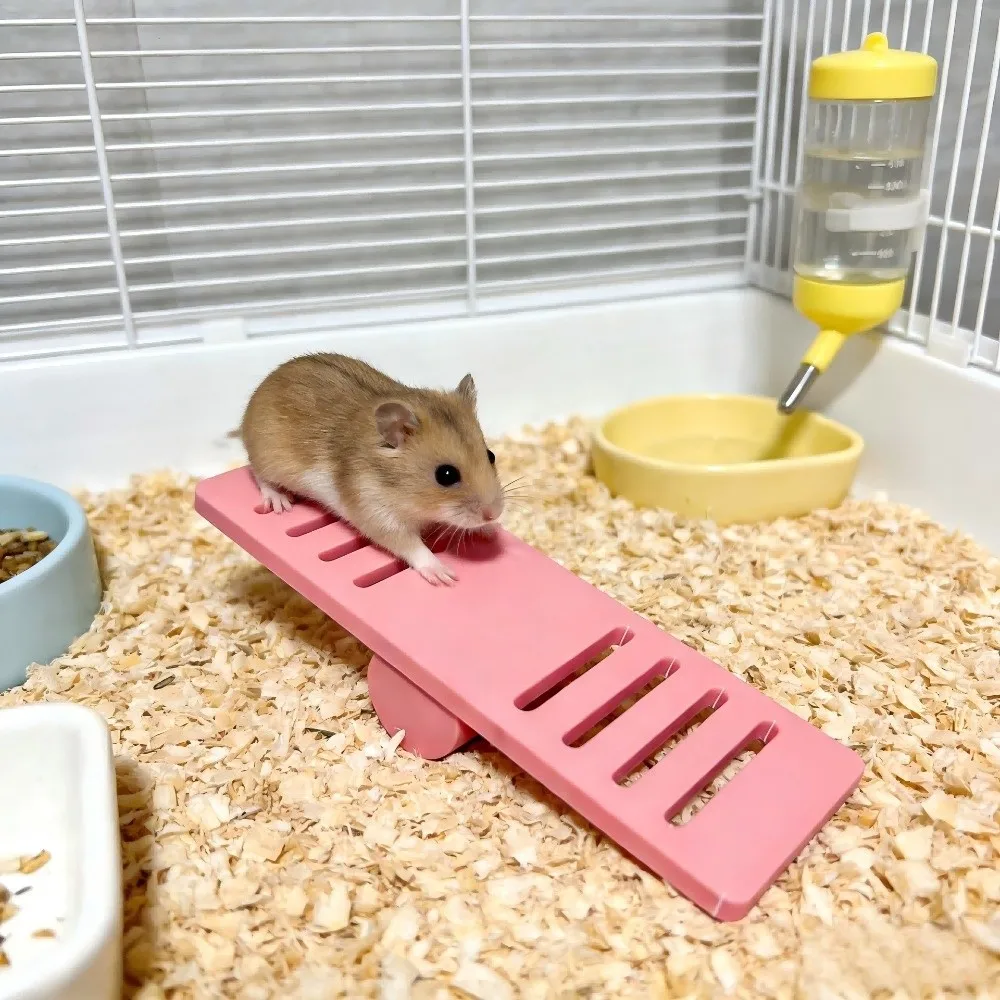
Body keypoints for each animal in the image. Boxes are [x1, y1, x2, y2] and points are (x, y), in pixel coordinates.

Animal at [235, 352, 505, 586]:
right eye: (446, 475)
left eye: (490, 455)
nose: (494, 513)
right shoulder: (376, 512)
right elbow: (411, 546)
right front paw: (444, 575)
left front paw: (491, 530)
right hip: (267, 458)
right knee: (260, 476)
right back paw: (280, 502)